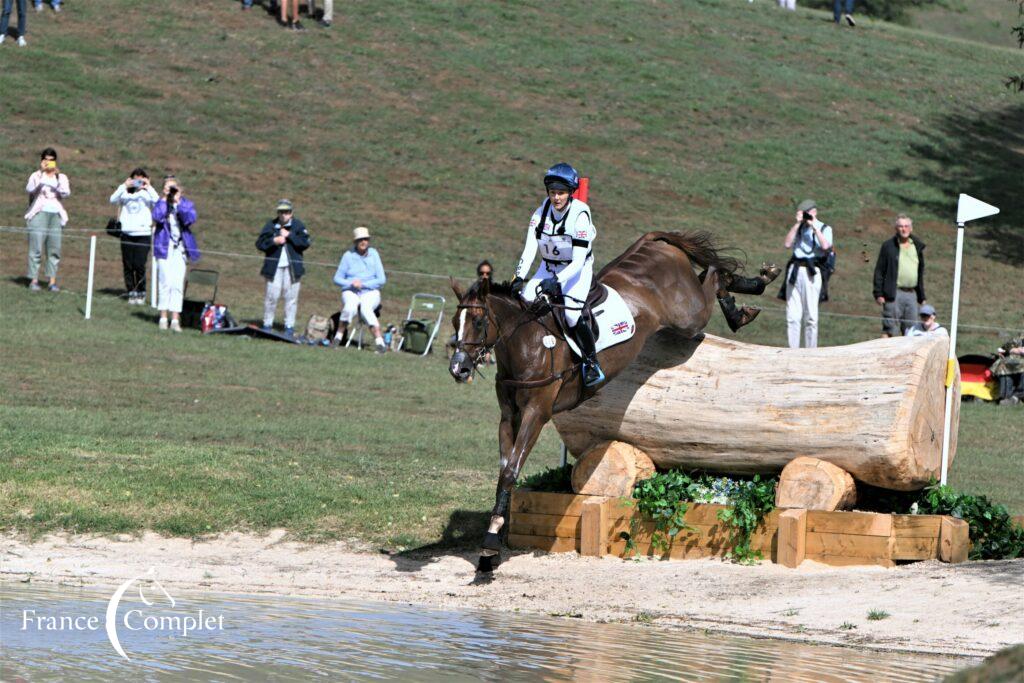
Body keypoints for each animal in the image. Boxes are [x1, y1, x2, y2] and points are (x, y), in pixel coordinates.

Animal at [446, 232, 774, 573]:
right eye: (456, 321)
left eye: (479, 322)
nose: (459, 369)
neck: (528, 344)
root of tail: (653, 242)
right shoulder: (508, 416)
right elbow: (503, 472)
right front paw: (492, 544)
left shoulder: (536, 413)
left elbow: (512, 470)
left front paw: (489, 544)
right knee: (710, 274)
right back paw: (751, 292)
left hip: (688, 315)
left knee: (713, 276)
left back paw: (749, 297)